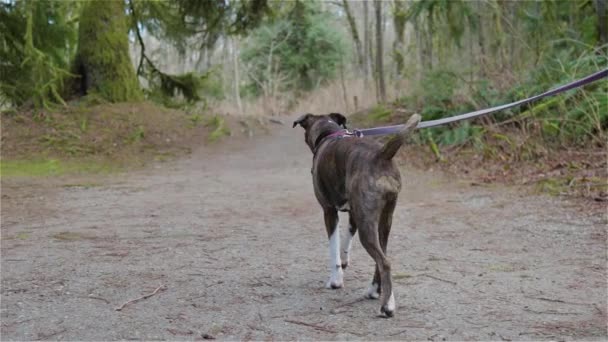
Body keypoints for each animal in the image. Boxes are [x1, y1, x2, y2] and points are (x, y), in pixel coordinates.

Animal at [292, 112, 420, 318]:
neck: (330, 133)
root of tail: (381, 155)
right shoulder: (354, 214)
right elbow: (345, 240)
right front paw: (344, 260)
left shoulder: (329, 211)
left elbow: (333, 248)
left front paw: (336, 280)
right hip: (383, 220)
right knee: (382, 255)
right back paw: (374, 291)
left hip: (367, 227)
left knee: (385, 262)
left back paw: (387, 306)